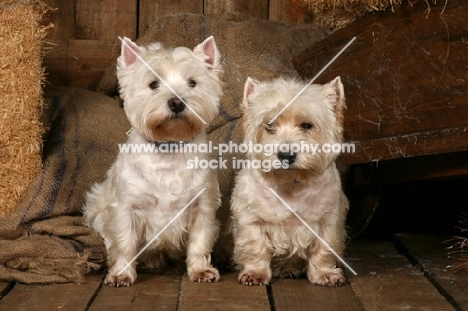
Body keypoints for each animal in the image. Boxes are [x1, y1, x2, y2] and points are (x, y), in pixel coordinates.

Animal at [83, 36, 224, 288]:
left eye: (192, 82)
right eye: (153, 84)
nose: (176, 102)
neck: (168, 147)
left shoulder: (202, 206)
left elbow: (199, 241)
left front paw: (200, 270)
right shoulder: (126, 207)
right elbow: (124, 242)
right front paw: (121, 274)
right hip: (96, 205)